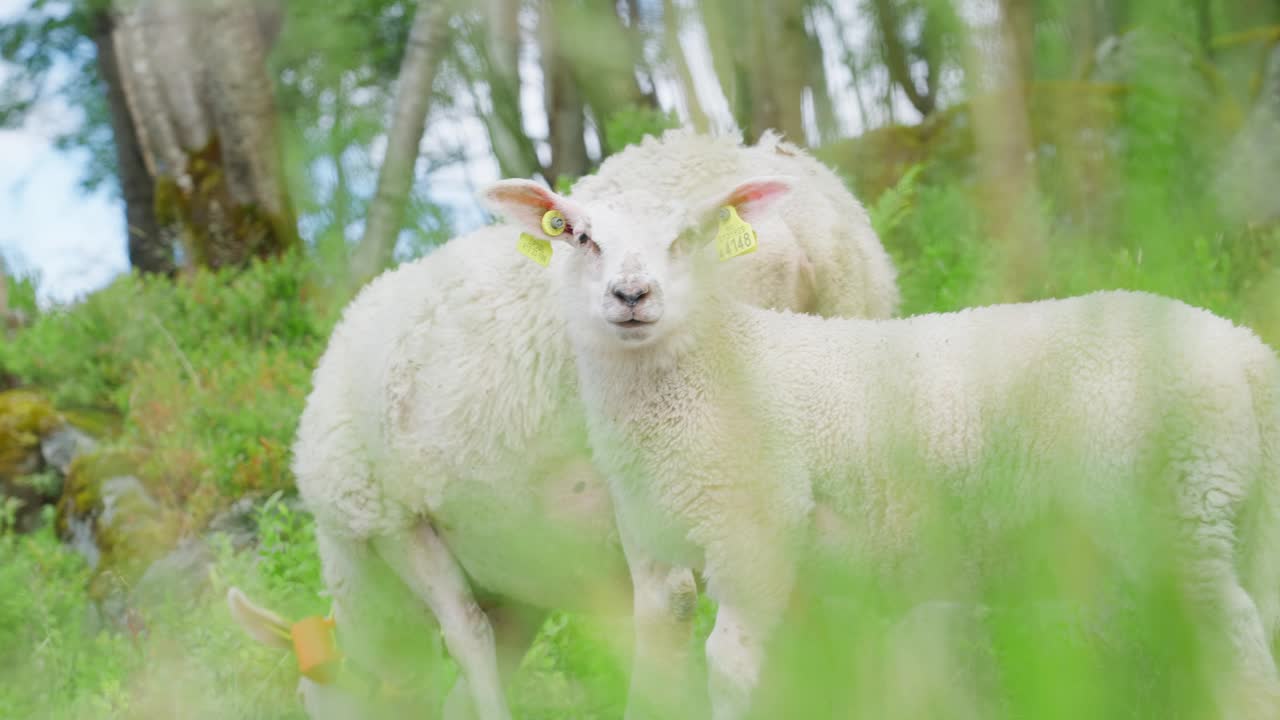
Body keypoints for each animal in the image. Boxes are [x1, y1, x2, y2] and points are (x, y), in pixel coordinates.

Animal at [235, 128, 906, 717]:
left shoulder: (393, 523)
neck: (370, 594)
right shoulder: (518, 580)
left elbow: (467, 641)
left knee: (668, 602)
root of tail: (804, 232)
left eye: (305, 700)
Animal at [481, 174, 1280, 717]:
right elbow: (657, 666)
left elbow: (731, 668)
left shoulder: (757, 530)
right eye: (580, 236)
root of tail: (1243, 348)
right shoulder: (652, 550)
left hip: (1179, 503)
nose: (631, 297)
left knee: (1234, 642)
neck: (707, 368)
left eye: (687, 239)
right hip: (1214, 514)